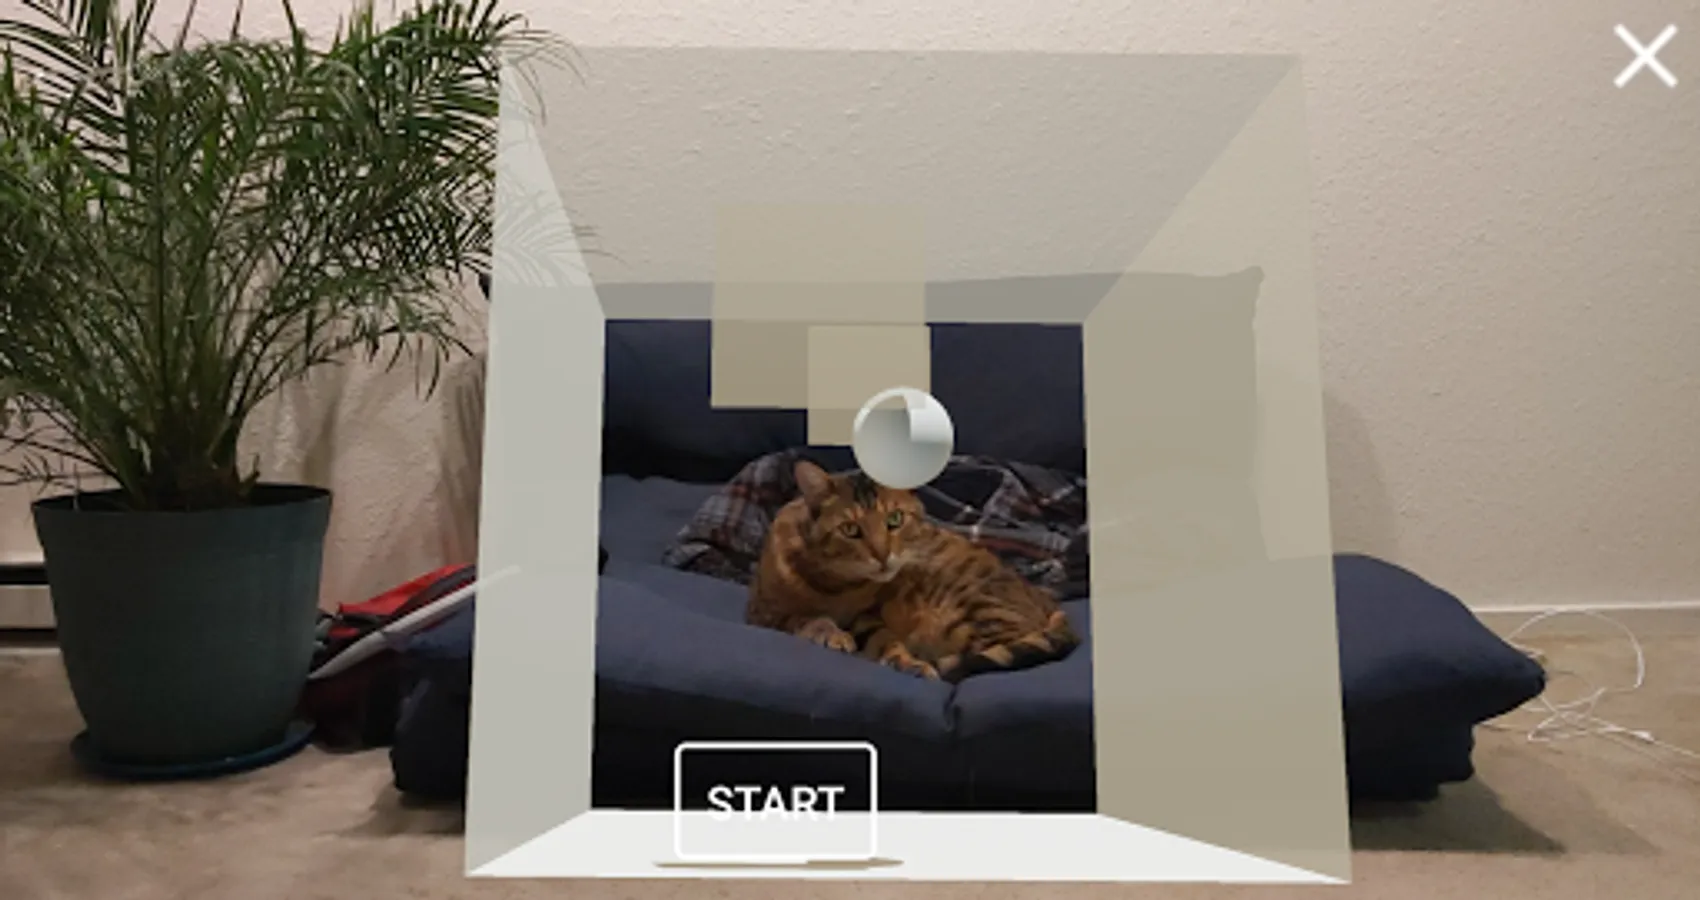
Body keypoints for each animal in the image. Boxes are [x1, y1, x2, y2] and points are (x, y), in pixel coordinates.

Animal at [745, 458, 1080, 682]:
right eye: (850, 529)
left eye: (894, 519)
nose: (882, 555)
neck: (834, 584)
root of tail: (1049, 602)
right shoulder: (764, 614)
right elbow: (806, 619)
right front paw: (831, 633)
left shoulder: (869, 616)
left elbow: (884, 639)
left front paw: (906, 662)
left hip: (971, 612)